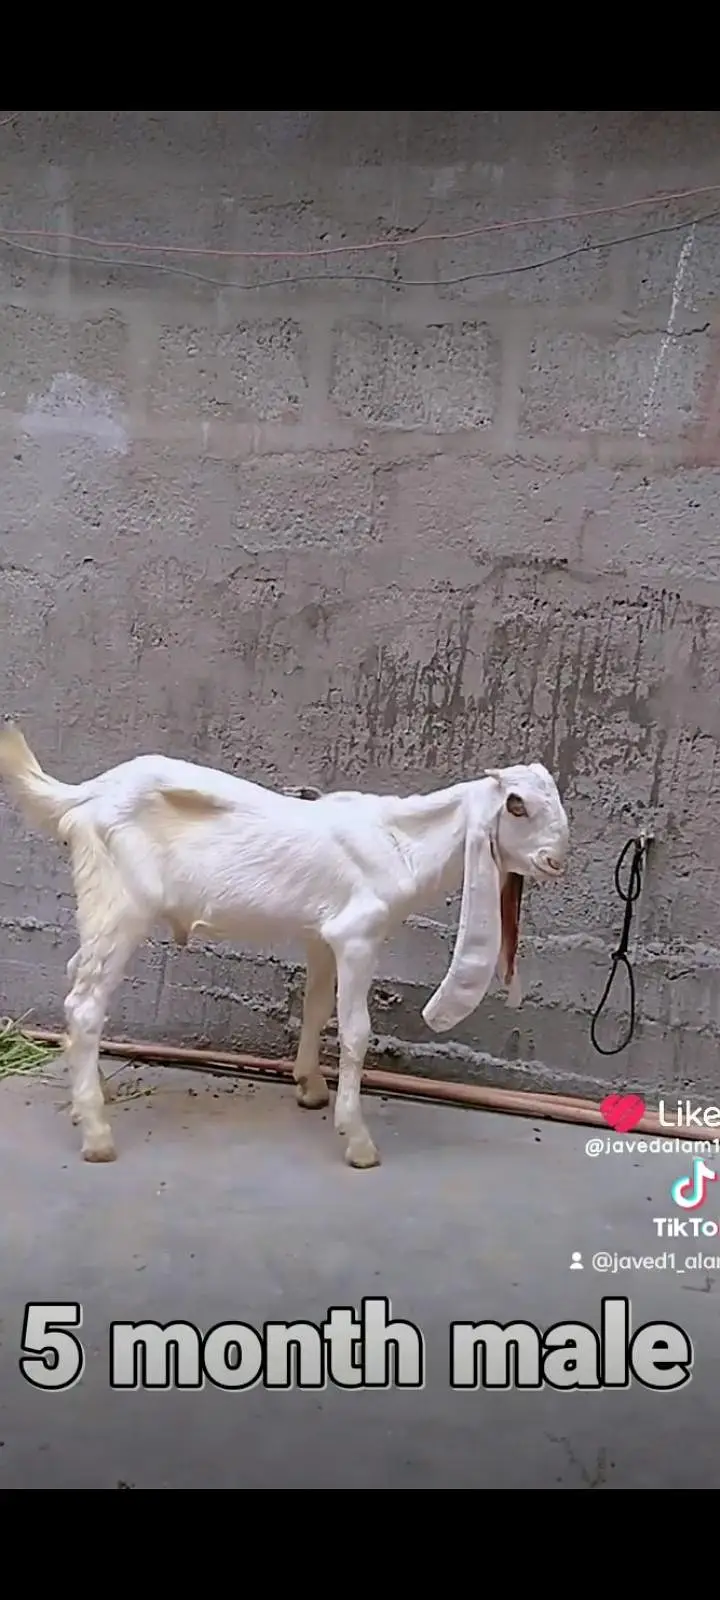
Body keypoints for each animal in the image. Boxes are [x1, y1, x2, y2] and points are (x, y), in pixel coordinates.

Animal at [0, 720, 570, 1170]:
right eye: (516, 805)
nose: (556, 861)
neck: (401, 844)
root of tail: (84, 797)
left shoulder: (322, 936)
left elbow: (316, 1009)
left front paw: (310, 1087)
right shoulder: (357, 936)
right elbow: (357, 1032)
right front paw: (357, 1140)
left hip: (101, 908)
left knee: (76, 977)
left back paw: (90, 1093)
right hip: (121, 906)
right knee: (85, 1004)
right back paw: (97, 1134)